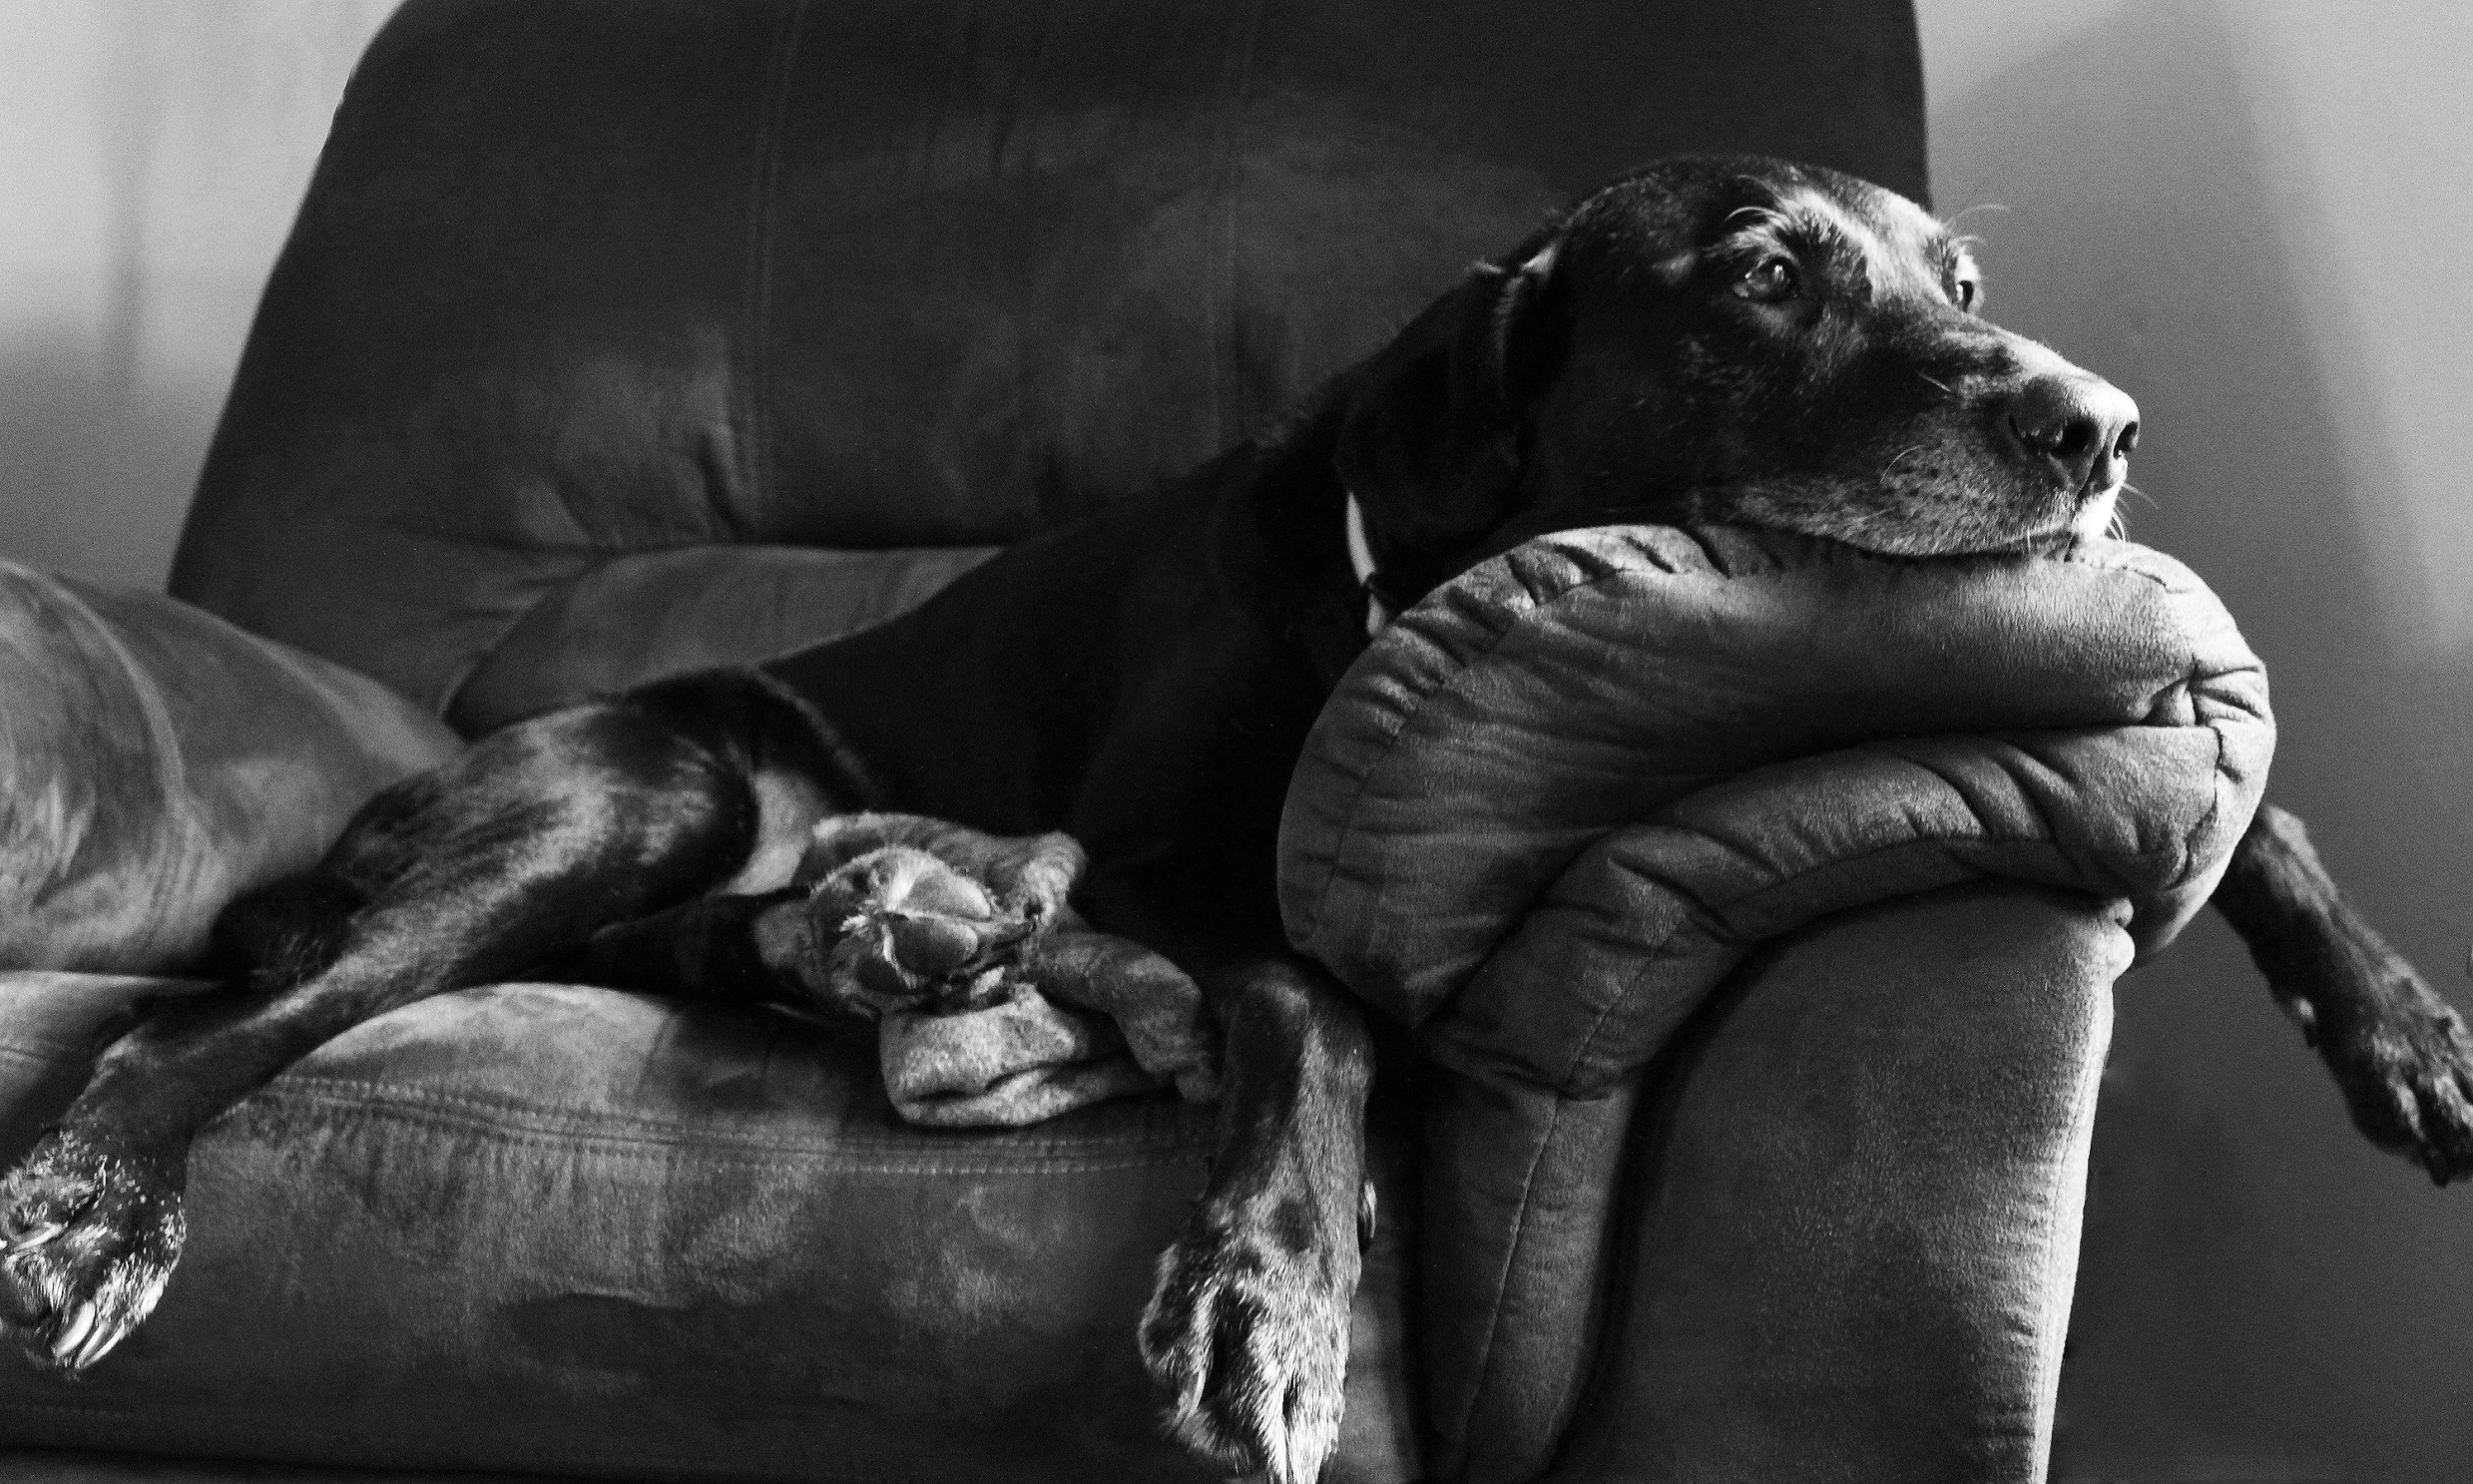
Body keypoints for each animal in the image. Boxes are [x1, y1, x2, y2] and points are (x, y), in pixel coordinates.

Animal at [4, 156, 2473, 1474]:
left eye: (1964, 284)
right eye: (1767, 272)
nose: (2101, 427)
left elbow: (2247, 788)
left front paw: (2405, 1023)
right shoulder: (1187, 861)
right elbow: (1315, 999)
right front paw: (1266, 1295)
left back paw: (905, 931)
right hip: (648, 778)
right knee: (245, 1010)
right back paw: (105, 1200)